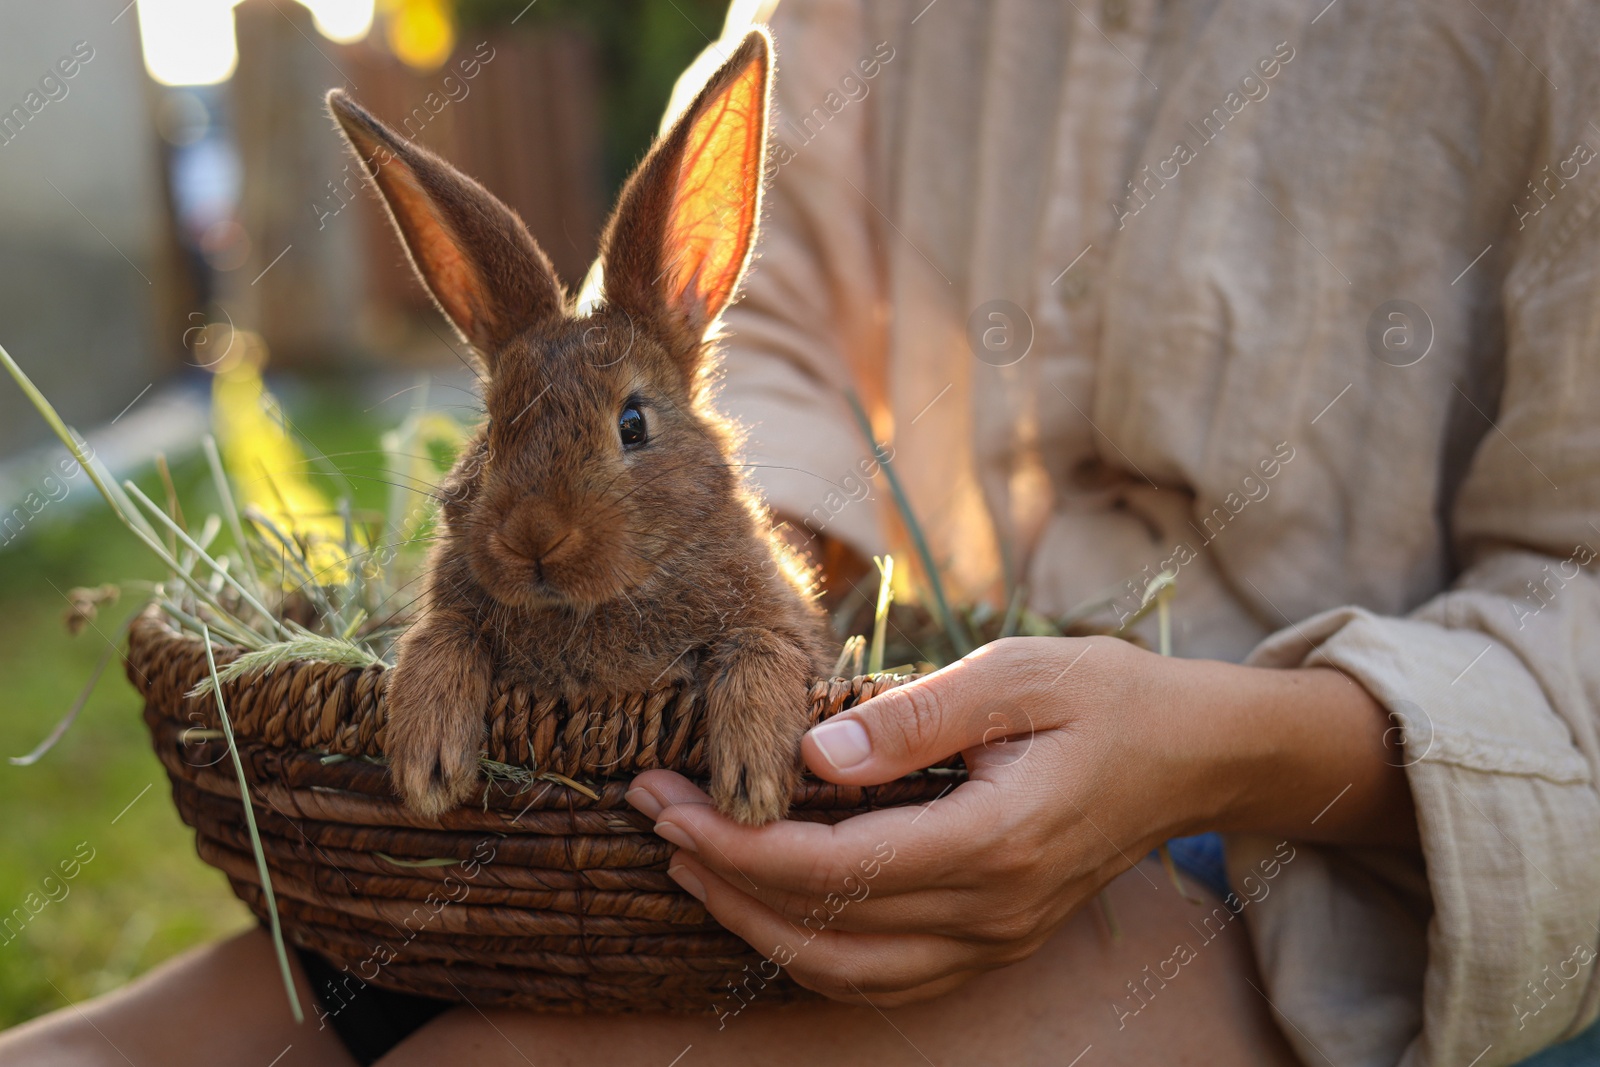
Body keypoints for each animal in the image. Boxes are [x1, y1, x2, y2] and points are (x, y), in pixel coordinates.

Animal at [320, 27, 832, 825]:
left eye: (633, 422)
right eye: (493, 427)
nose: (533, 536)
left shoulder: (785, 627)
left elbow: (763, 649)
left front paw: (752, 783)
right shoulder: (453, 614)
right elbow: (442, 637)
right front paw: (426, 765)